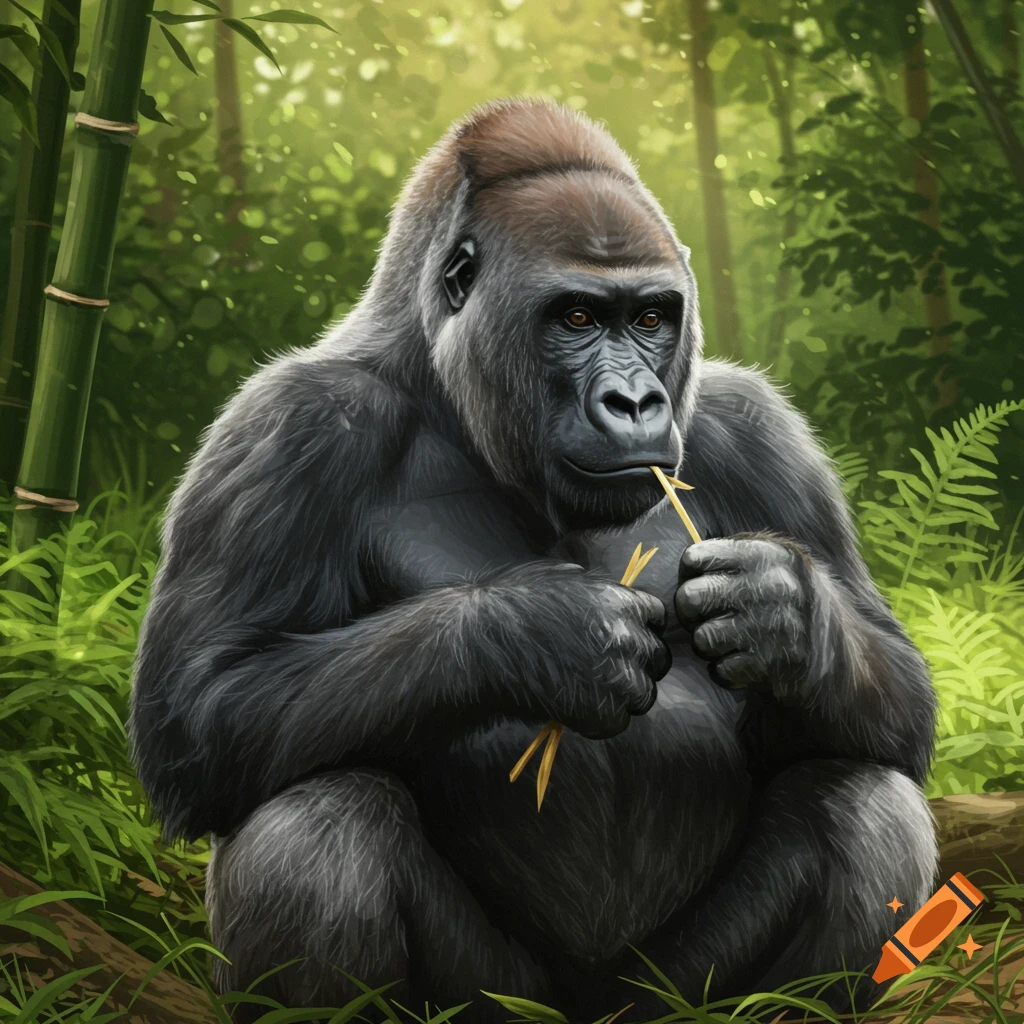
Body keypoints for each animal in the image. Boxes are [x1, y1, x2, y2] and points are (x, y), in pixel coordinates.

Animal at [129, 98, 938, 1023]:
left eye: (651, 318)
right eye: (577, 318)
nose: (635, 402)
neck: (441, 385)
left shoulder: (759, 431)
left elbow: (900, 700)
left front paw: (783, 614)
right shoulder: (289, 425)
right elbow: (198, 708)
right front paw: (541, 635)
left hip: (664, 997)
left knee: (863, 804)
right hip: (497, 1001)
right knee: (317, 825)